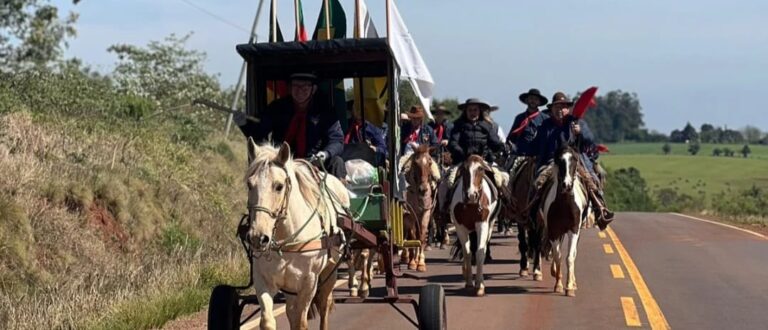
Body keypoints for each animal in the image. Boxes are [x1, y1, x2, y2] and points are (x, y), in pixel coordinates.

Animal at [244, 140, 350, 330]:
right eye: (249, 184)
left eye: (279, 186)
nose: (258, 237)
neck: (287, 242)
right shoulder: (263, 279)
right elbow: (268, 321)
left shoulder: (309, 283)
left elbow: (301, 322)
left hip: (330, 272)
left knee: (324, 305)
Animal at [448, 155, 500, 296]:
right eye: (464, 169)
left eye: (480, 169)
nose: (471, 195)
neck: (471, 205)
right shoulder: (460, 227)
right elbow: (467, 252)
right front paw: (469, 283)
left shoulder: (482, 225)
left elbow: (479, 252)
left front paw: (480, 285)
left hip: (489, 226)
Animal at [536, 146, 592, 296]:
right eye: (560, 161)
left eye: (575, 160)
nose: (567, 185)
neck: (565, 205)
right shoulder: (554, 232)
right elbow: (558, 256)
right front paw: (559, 284)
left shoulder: (574, 231)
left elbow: (569, 257)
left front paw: (569, 287)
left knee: (573, 253)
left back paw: (573, 282)